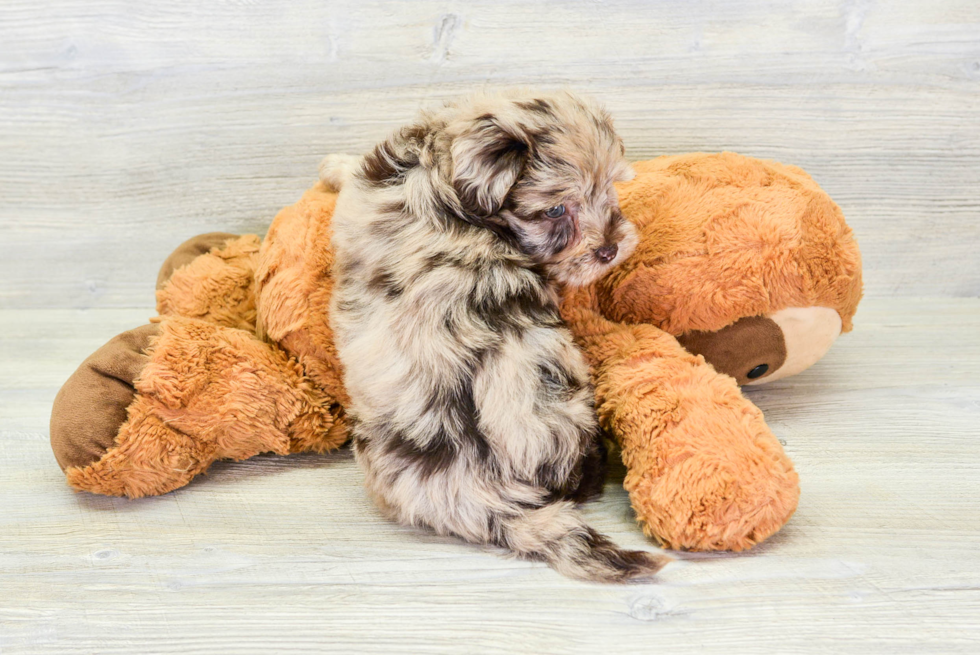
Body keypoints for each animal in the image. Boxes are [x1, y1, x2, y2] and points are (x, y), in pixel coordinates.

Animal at [326, 88, 668, 584]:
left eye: (609, 188)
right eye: (555, 210)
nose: (609, 250)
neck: (444, 179)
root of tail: (477, 484)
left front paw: (332, 164)